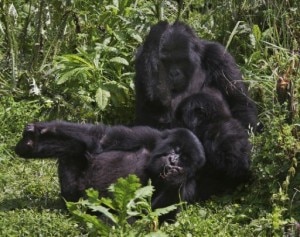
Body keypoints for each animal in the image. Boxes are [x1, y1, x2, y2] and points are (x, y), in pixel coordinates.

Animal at [15, 120, 205, 215]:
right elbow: (102, 138)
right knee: (75, 148)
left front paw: (175, 177)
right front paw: (46, 129)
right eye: (176, 149)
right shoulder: (148, 135)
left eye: (184, 160)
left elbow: (153, 213)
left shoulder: (189, 189)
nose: (173, 160)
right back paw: (30, 143)